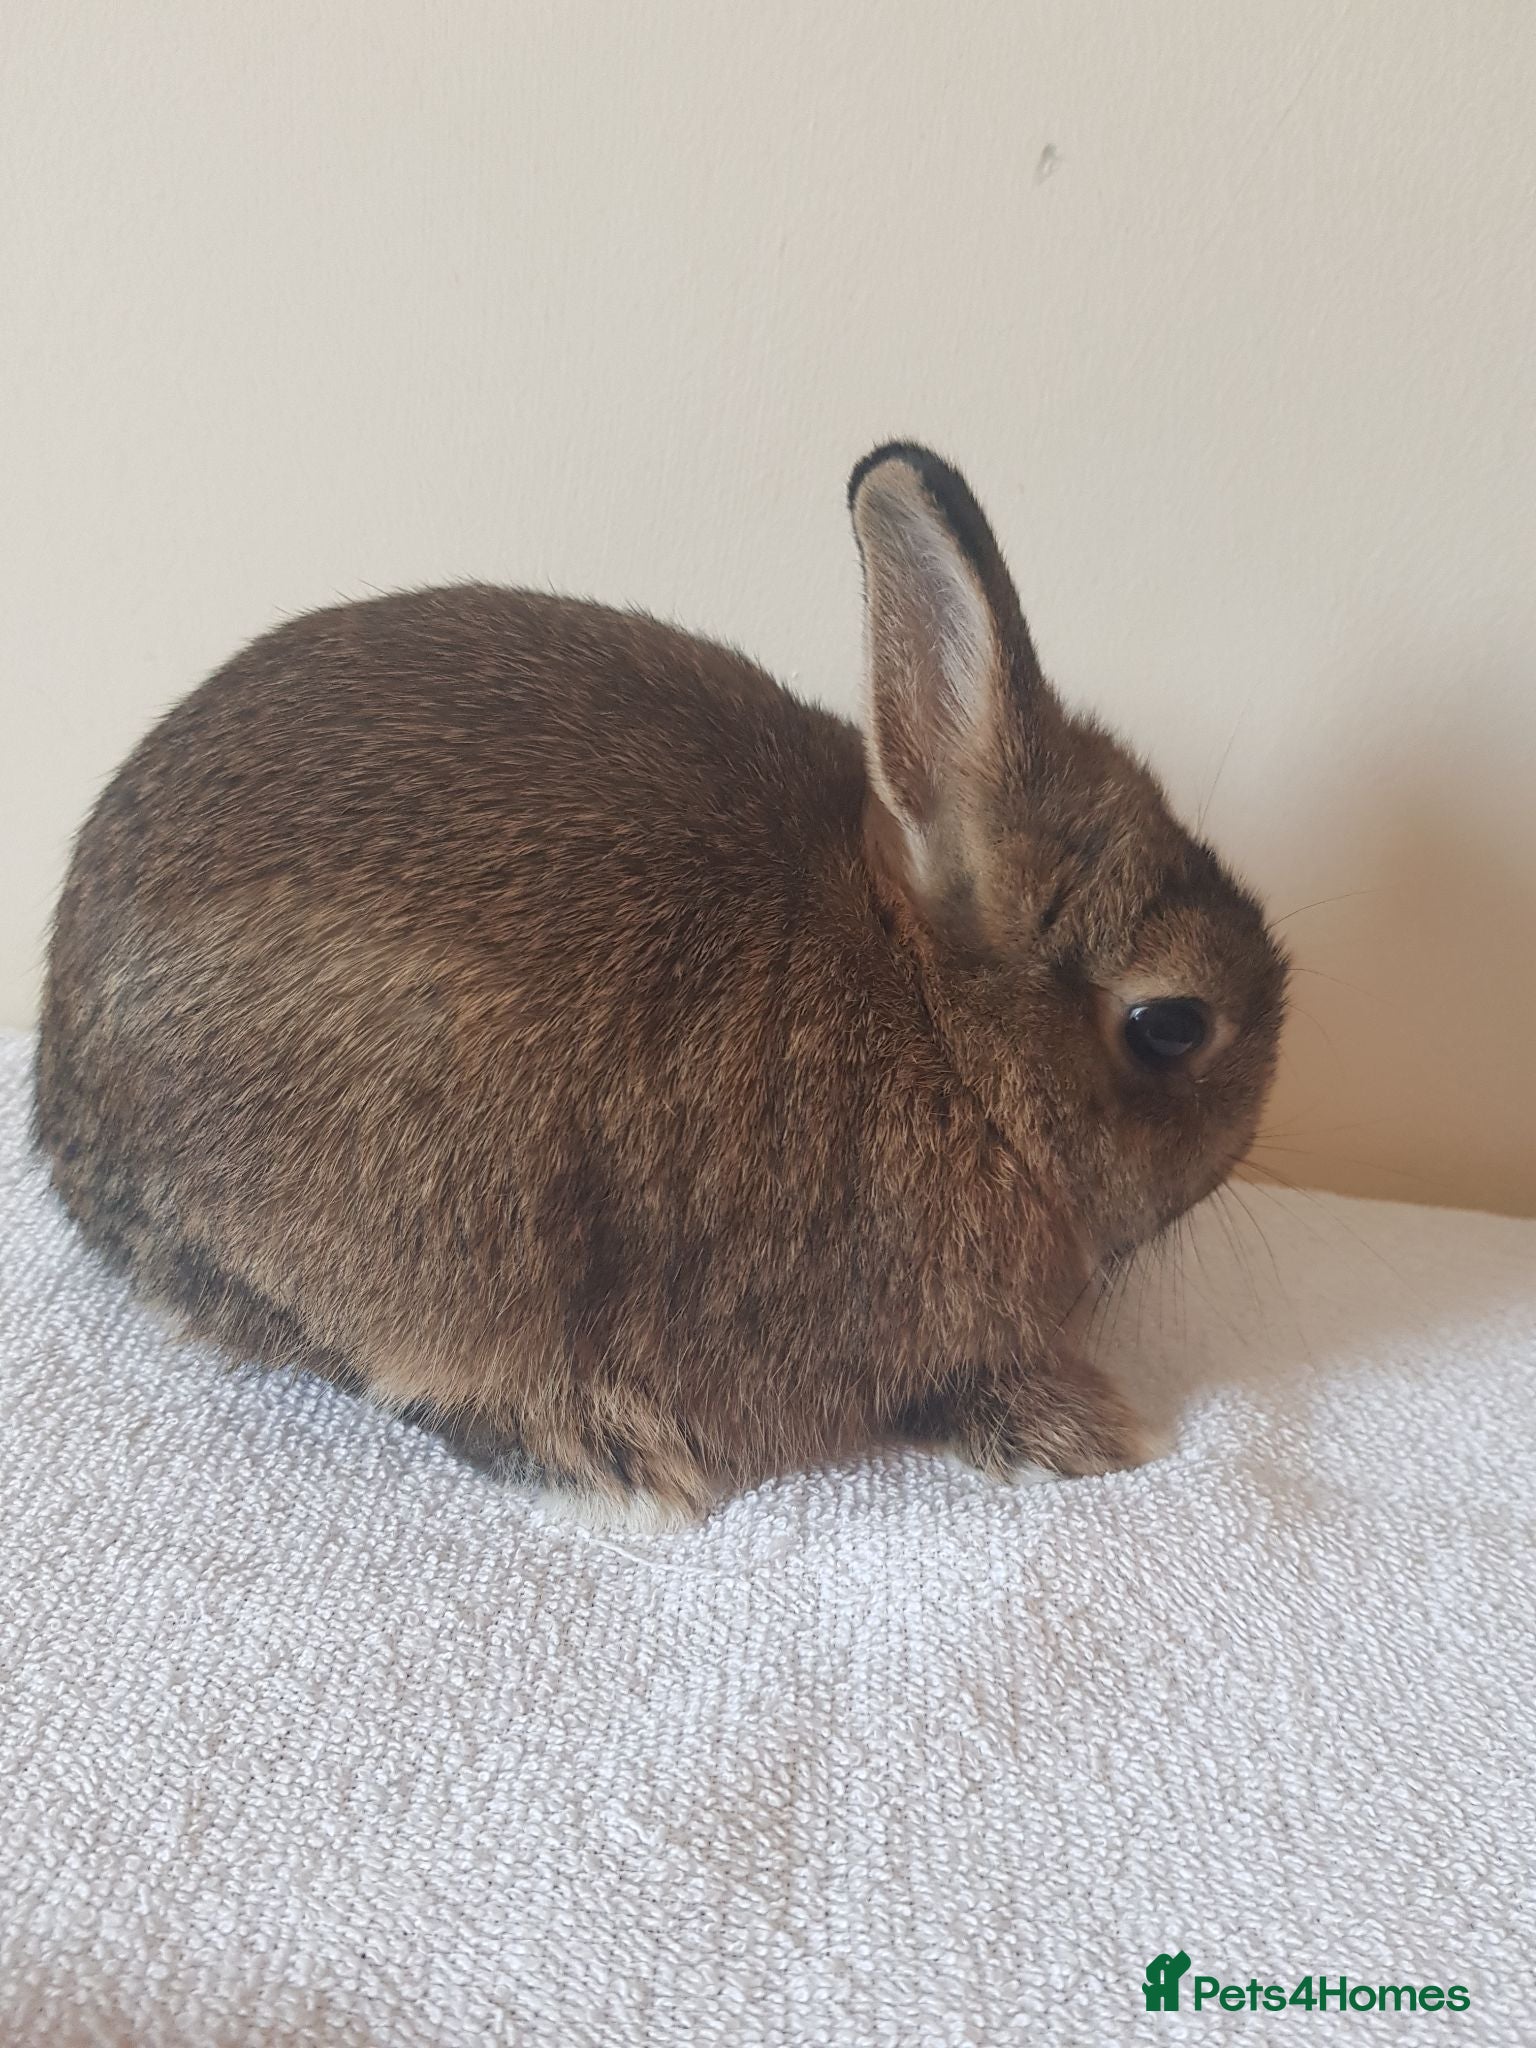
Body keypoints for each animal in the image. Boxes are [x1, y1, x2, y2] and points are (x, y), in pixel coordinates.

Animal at [34, 443, 1287, 1528]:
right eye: (1171, 1024)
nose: (1251, 1117)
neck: (940, 1023)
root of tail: (68, 1102)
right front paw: (1086, 1432)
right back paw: (608, 1452)